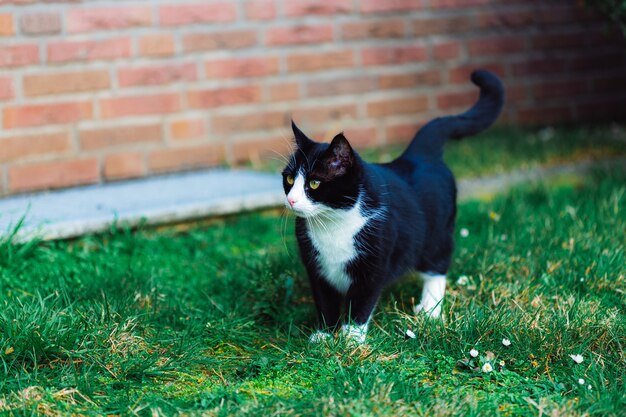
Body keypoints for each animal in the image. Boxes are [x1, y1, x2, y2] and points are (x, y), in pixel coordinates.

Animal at [282, 70, 502, 342]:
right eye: (289, 180)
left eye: (314, 183)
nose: (291, 199)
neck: (333, 223)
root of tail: (418, 155)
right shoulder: (316, 268)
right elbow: (325, 301)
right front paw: (324, 336)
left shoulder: (374, 264)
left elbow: (361, 301)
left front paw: (351, 339)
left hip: (437, 231)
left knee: (438, 263)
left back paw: (430, 308)